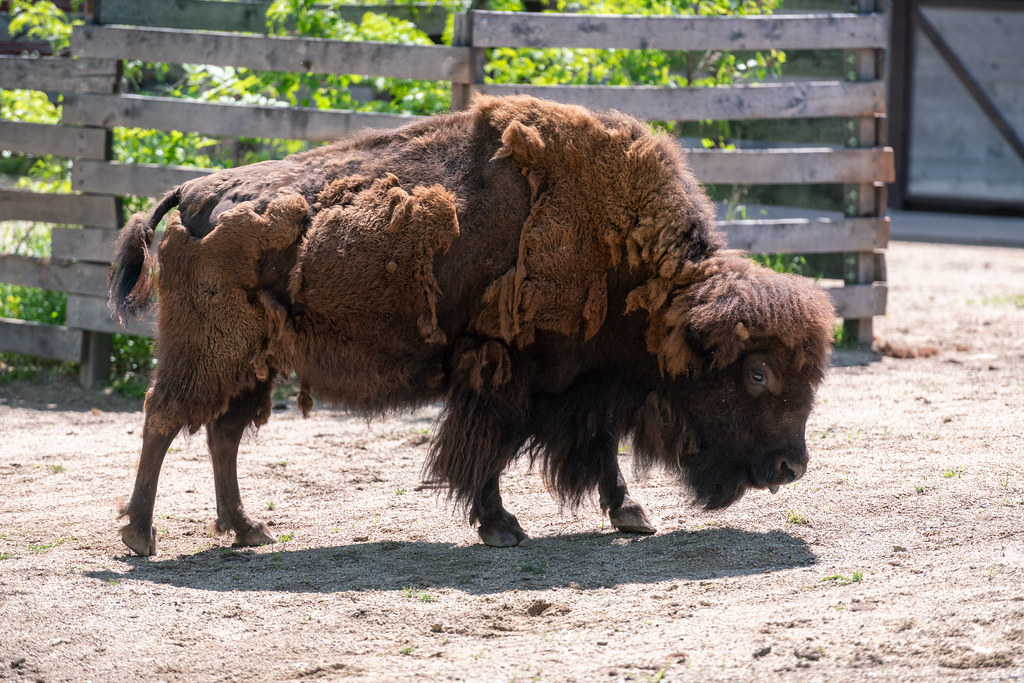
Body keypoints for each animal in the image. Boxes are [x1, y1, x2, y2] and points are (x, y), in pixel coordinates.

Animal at [109, 95, 835, 556]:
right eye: (758, 373)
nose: (791, 464)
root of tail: (194, 194)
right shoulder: (503, 372)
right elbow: (488, 449)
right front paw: (502, 526)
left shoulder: (581, 384)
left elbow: (598, 445)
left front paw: (631, 514)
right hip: (208, 352)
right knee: (164, 419)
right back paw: (142, 535)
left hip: (253, 362)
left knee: (222, 433)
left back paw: (246, 529)